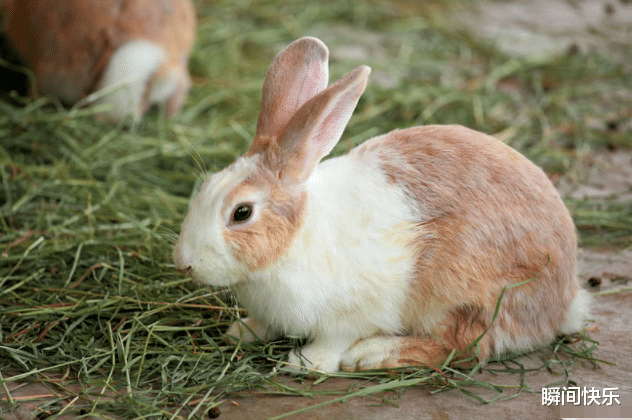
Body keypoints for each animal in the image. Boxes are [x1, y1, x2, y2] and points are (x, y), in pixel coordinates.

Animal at [170, 35, 592, 370]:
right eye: (207, 185)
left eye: (241, 213)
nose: (183, 263)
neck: (296, 238)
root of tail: (562, 301)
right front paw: (241, 332)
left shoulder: (350, 315)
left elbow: (333, 341)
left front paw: (306, 363)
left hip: (459, 294)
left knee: (466, 348)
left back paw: (372, 355)